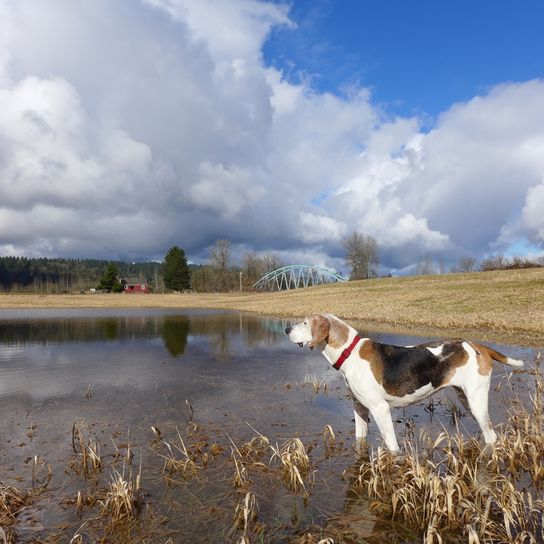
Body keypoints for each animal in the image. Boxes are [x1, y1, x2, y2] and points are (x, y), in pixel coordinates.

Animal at [284, 312, 524, 452]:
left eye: (305, 323)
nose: (286, 329)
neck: (348, 351)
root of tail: (477, 345)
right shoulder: (359, 408)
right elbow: (360, 439)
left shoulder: (379, 409)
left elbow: (391, 445)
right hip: (466, 398)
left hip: (476, 401)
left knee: (491, 435)